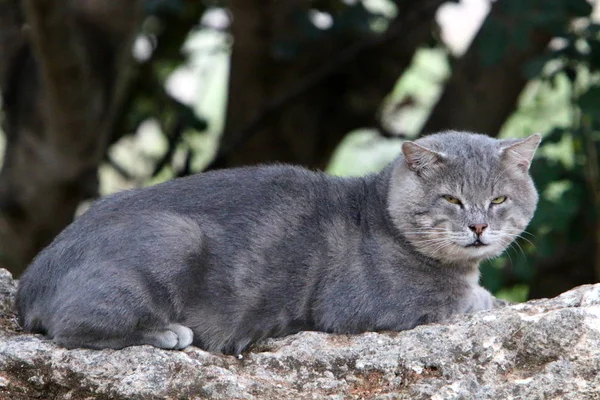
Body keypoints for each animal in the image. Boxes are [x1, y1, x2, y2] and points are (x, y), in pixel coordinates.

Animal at [14, 130, 540, 354]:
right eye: (452, 198)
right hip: (172, 236)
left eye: (498, 198)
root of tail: (31, 282)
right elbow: (465, 301)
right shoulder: (369, 306)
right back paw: (167, 333)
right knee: (74, 327)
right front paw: (488, 300)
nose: (478, 227)